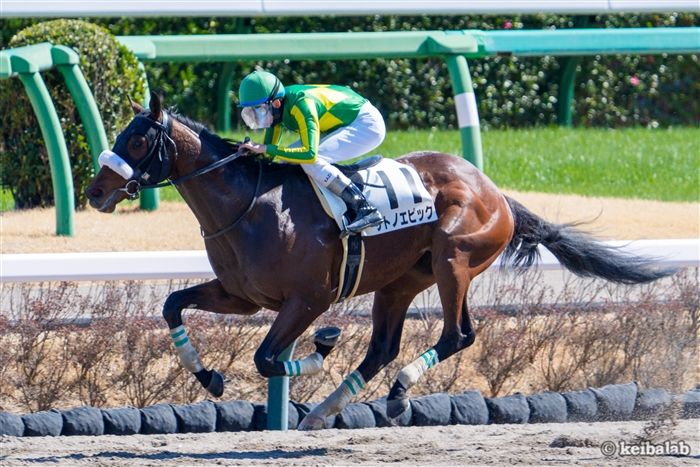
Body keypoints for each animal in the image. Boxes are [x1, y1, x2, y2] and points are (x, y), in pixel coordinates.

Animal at [85, 94, 676, 432]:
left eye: (138, 139)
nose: (95, 190)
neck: (249, 205)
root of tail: (497, 193)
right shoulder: (243, 296)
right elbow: (172, 305)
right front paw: (208, 376)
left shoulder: (308, 299)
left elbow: (268, 359)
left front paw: (322, 346)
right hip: (400, 282)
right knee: (384, 347)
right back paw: (323, 412)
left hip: (454, 259)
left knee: (457, 335)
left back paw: (393, 394)